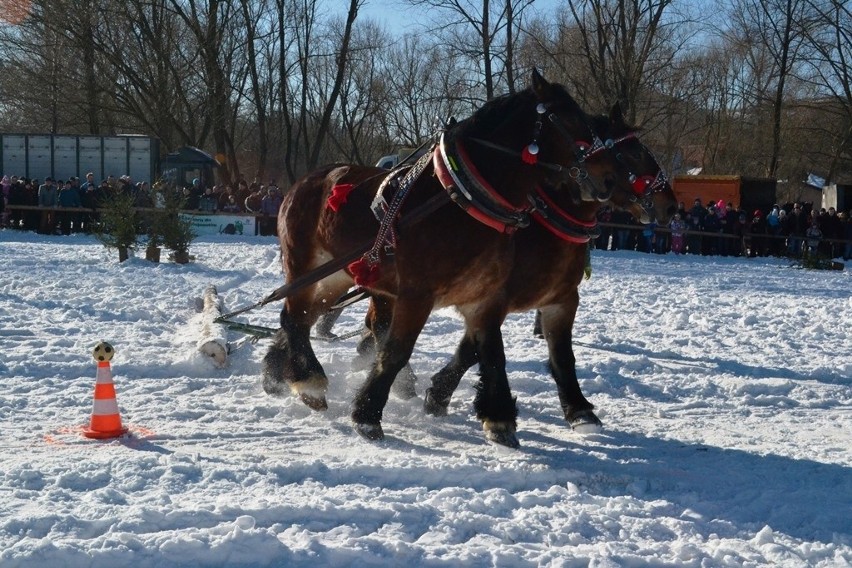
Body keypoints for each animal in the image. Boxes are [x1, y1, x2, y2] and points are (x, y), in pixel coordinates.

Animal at [262, 70, 656, 444]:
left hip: (339, 275)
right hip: (305, 265)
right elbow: (398, 351)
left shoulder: (499, 298)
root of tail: (305, 181)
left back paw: (280, 374)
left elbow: (499, 353)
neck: (463, 202)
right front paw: (368, 415)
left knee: (306, 317)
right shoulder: (419, 294)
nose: (609, 179)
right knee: (297, 317)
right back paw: (309, 381)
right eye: (571, 120)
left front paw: (500, 416)